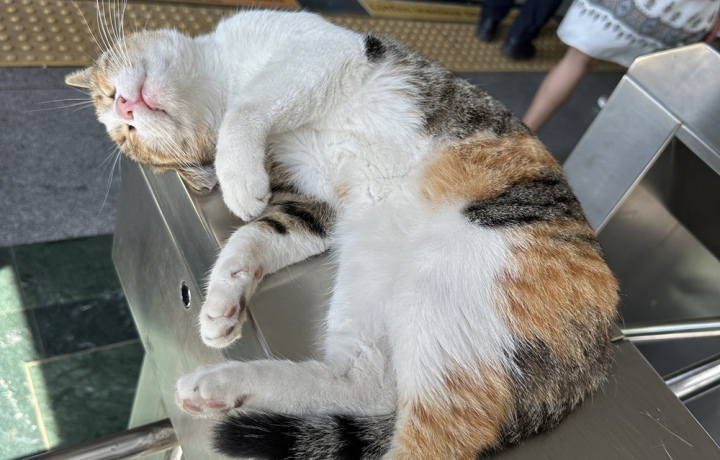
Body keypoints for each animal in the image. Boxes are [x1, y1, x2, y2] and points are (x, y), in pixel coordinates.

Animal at [66, 9, 619, 459]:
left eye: (111, 98)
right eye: (126, 131)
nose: (126, 109)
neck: (223, 81)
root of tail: (597, 358)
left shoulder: (322, 51)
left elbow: (248, 107)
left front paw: (238, 179)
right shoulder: (312, 205)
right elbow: (257, 234)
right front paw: (222, 301)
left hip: (454, 277)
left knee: (439, 438)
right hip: (373, 273)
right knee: (362, 382)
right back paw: (221, 385)